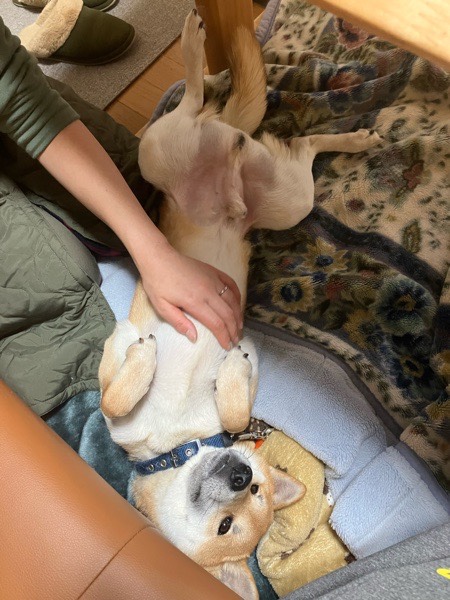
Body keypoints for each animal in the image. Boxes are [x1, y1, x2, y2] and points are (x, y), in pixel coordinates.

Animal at [98, 10, 380, 599]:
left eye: (253, 498)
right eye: (226, 524)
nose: (242, 473)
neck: (180, 441)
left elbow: (236, 410)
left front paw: (232, 370)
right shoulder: (114, 375)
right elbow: (115, 397)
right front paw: (147, 357)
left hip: (281, 195)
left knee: (290, 137)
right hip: (172, 155)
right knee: (206, 105)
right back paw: (196, 52)